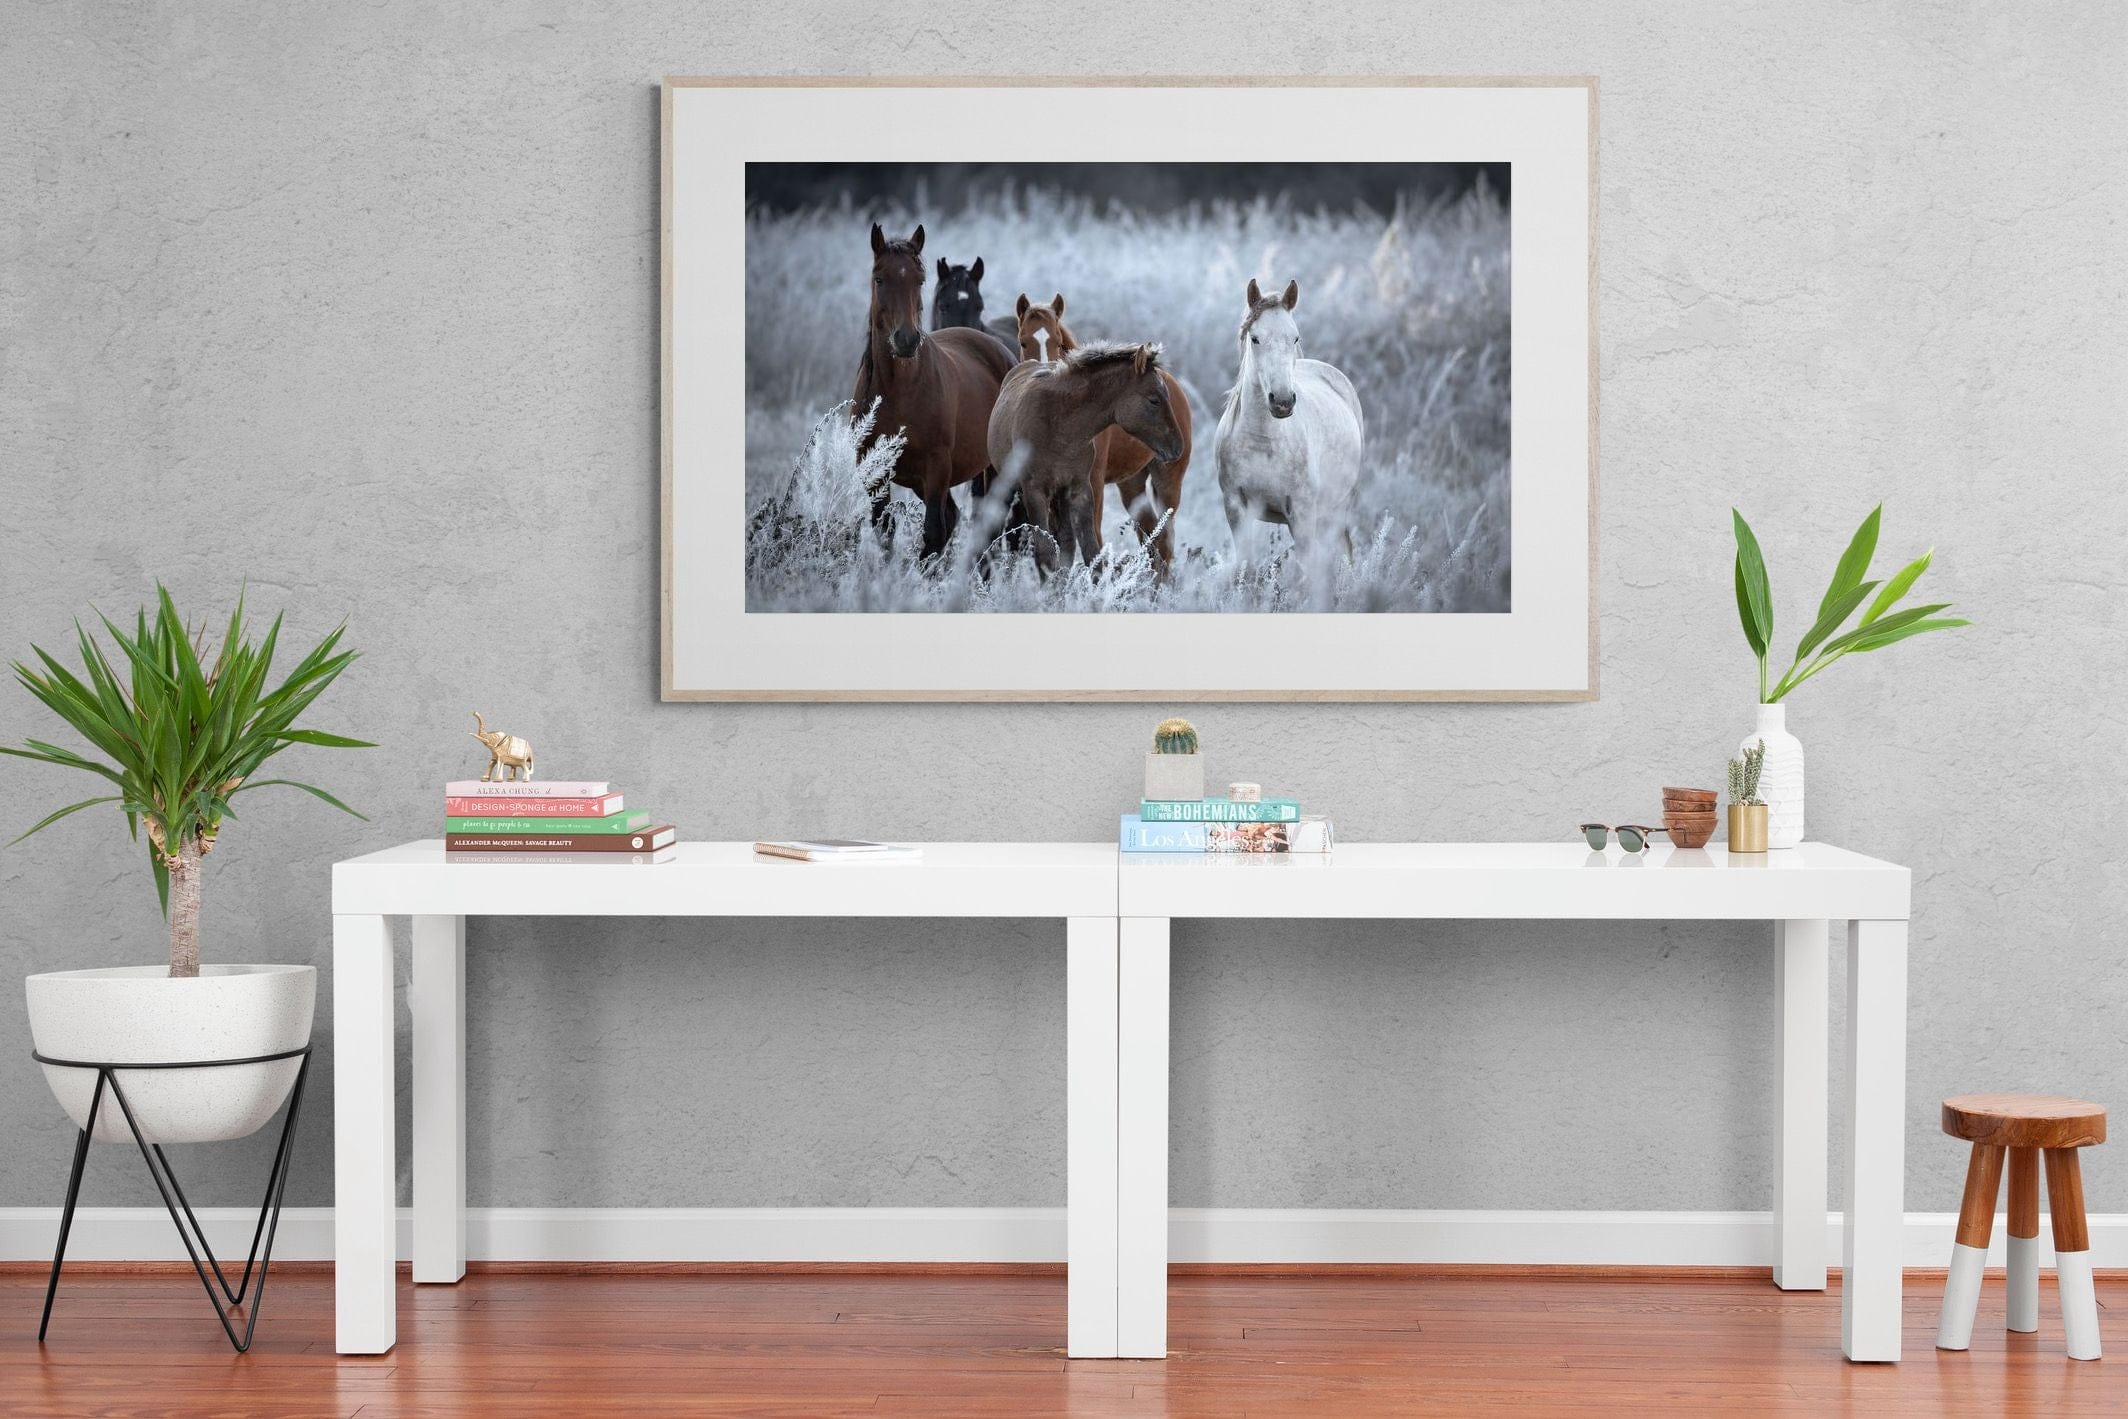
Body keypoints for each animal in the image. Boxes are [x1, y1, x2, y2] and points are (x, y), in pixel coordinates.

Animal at [853, 224, 1016, 560]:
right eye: (879, 278)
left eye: (920, 279)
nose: (906, 340)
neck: (897, 391)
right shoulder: (876, 473)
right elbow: (885, 532)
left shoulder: (936, 470)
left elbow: (932, 535)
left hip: (993, 469)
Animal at [1011, 293, 1194, 576]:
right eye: (1023, 340)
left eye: (1058, 341)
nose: (1042, 368)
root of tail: (1175, 386)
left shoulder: (1091, 482)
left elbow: (1093, 538)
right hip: (1132, 484)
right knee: (1151, 536)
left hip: (1168, 482)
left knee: (1165, 540)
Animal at [1211, 278, 1365, 568]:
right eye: (1255, 338)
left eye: (1295, 337)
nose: (1282, 401)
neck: (1262, 442)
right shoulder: (1236, 509)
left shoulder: (1301, 514)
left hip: (1337, 511)